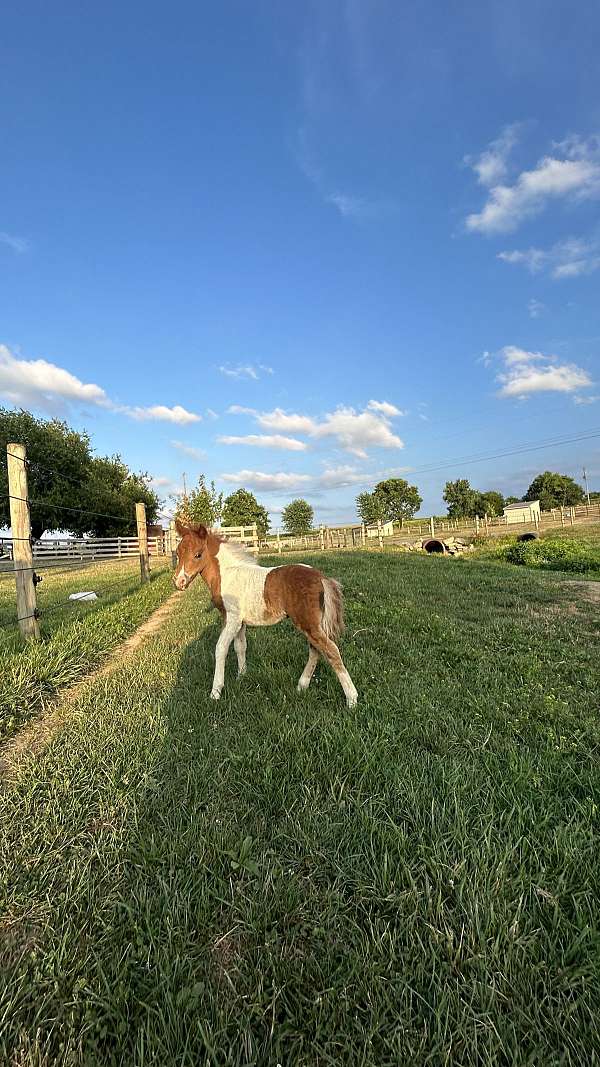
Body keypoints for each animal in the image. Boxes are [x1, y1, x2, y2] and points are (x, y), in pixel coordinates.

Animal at [172, 518, 356, 708]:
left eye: (198, 554)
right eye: (177, 553)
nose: (179, 582)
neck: (228, 575)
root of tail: (321, 577)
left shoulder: (232, 619)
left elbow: (221, 648)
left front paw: (215, 692)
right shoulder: (240, 622)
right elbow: (240, 646)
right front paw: (241, 676)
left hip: (307, 623)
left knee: (330, 650)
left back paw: (351, 700)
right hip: (311, 624)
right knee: (316, 650)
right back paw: (301, 686)